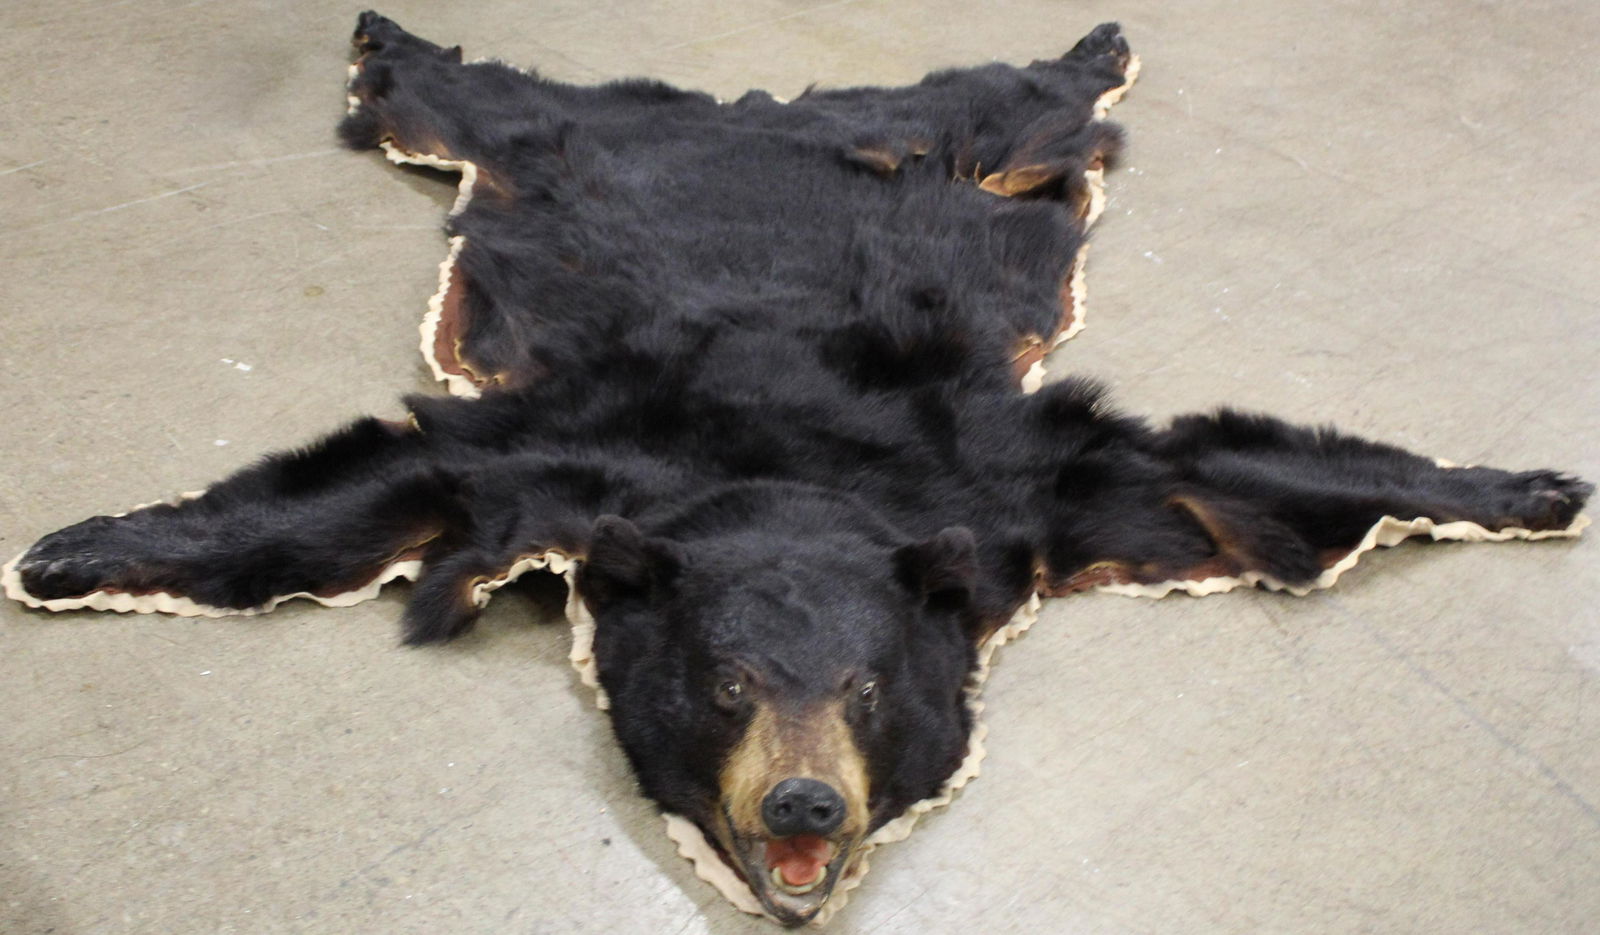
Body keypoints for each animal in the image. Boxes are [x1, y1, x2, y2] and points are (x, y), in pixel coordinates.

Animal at [3, 12, 1590, 927]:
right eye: (725, 685)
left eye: (870, 688)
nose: (805, 806)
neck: (792, 487)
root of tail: (753, 110)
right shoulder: (566, 456)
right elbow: (379, 484)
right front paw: (76, 551)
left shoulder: (1029, 491)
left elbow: (1223, 475)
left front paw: (1528, 487)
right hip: (546, 146)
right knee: (462, 97)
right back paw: (385, 24)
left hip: (971, 154)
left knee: (1022, 99)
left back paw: (1096, 40)